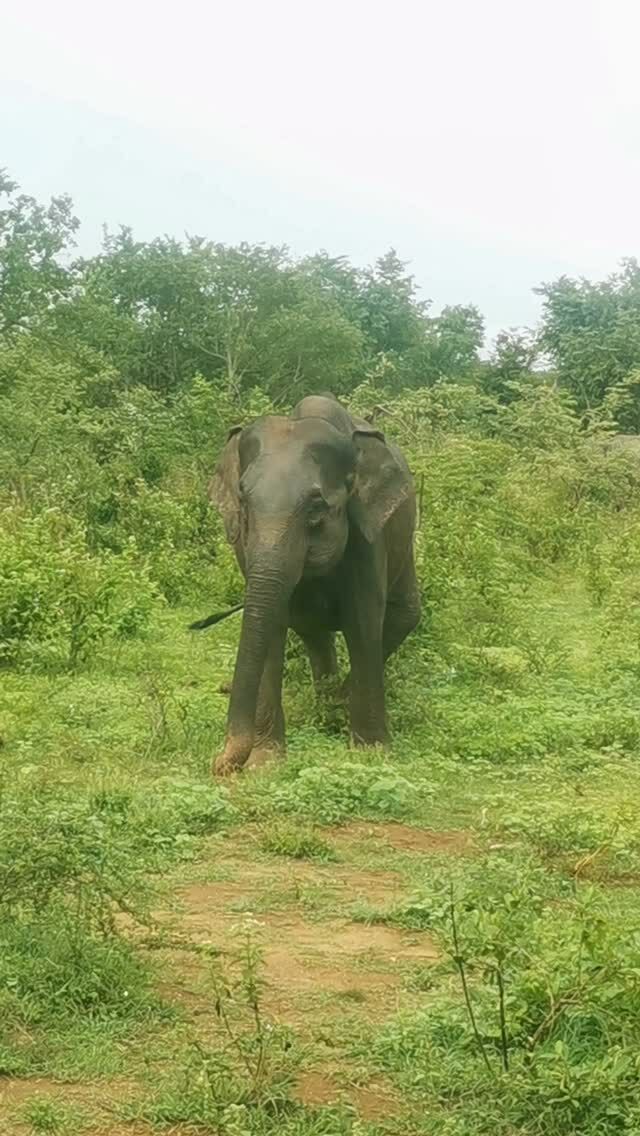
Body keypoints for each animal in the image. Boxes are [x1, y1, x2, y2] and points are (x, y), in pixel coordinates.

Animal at [198, 390, 420, 772]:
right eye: (243, 500)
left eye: (316, 507)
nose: (219, 765)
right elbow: (271, 621)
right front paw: (265, 763)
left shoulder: (367, 533)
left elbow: (363, 621)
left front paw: (372, 755)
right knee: (314, 633)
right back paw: (327, 705)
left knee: (403, 617)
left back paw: (335, 706)